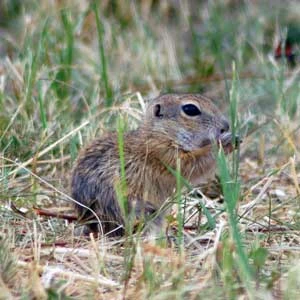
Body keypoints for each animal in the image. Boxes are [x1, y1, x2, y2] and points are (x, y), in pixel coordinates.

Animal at [71, 94, 236, 237]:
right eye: (190, 109)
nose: (226, 126)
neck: (159, 134)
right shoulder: (164, 154)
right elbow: (194, 164)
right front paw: (225, 141)